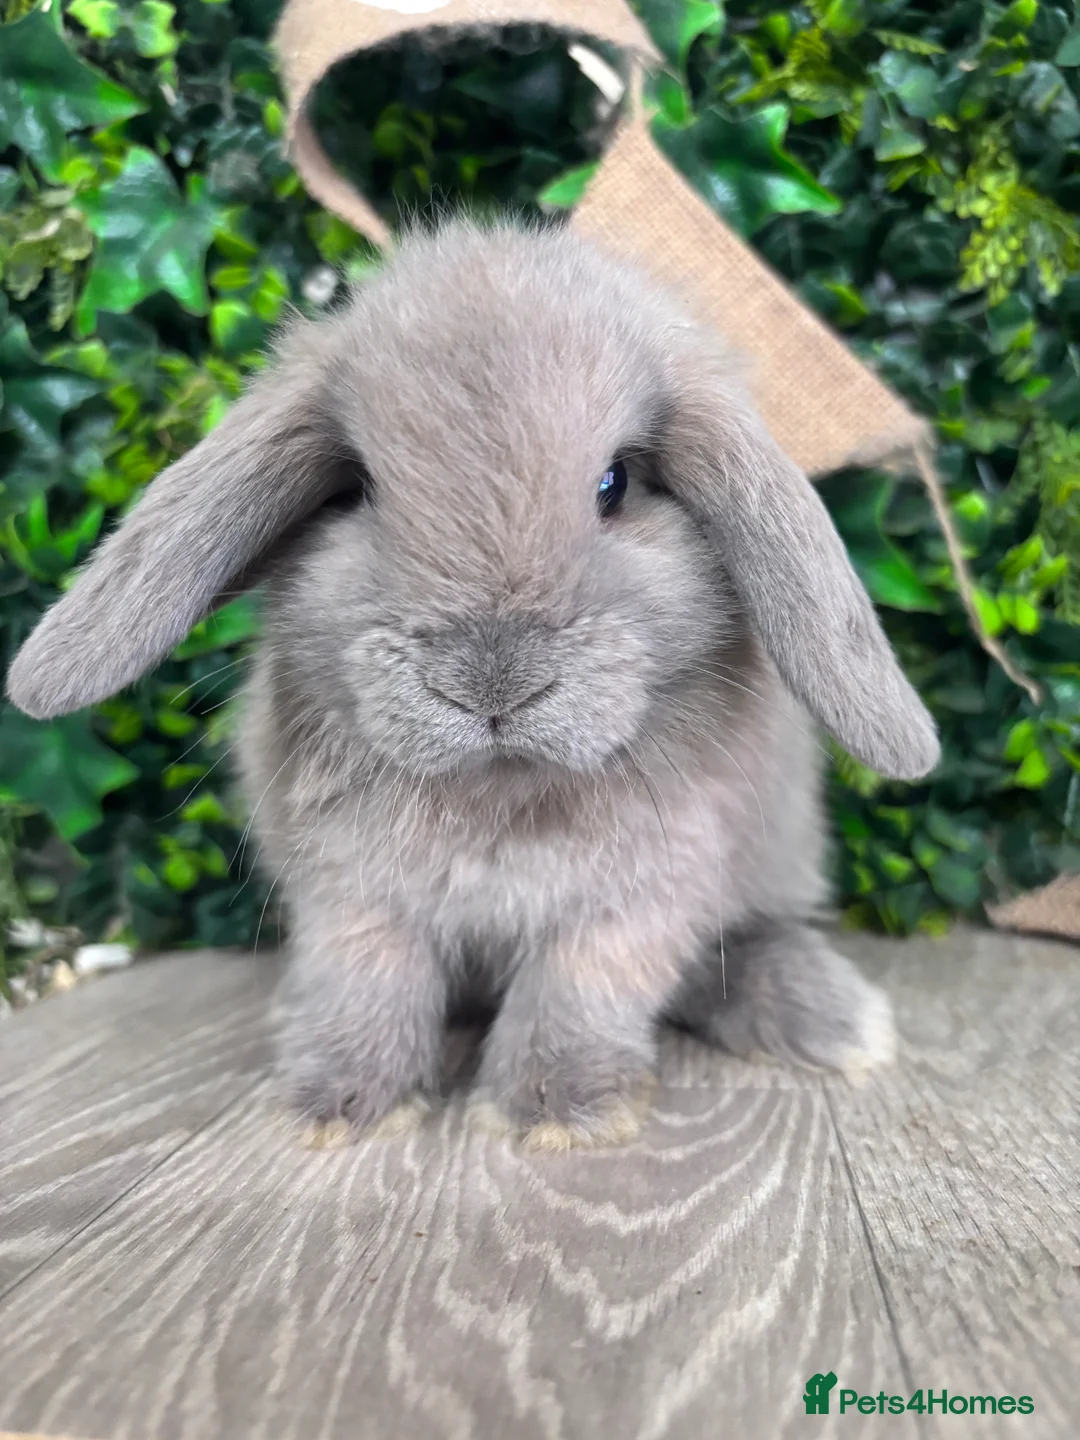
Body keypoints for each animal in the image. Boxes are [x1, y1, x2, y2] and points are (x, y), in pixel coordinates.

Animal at [6, 219, 939, 1151]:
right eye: (358, 488)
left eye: (616, 484)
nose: (492, 684)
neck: (500, 789)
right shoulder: (352, 892)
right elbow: (367, 979)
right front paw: (340, 1101)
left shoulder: (640, 897)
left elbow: (578, 988)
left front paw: (560, 1110)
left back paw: (833, 1019)